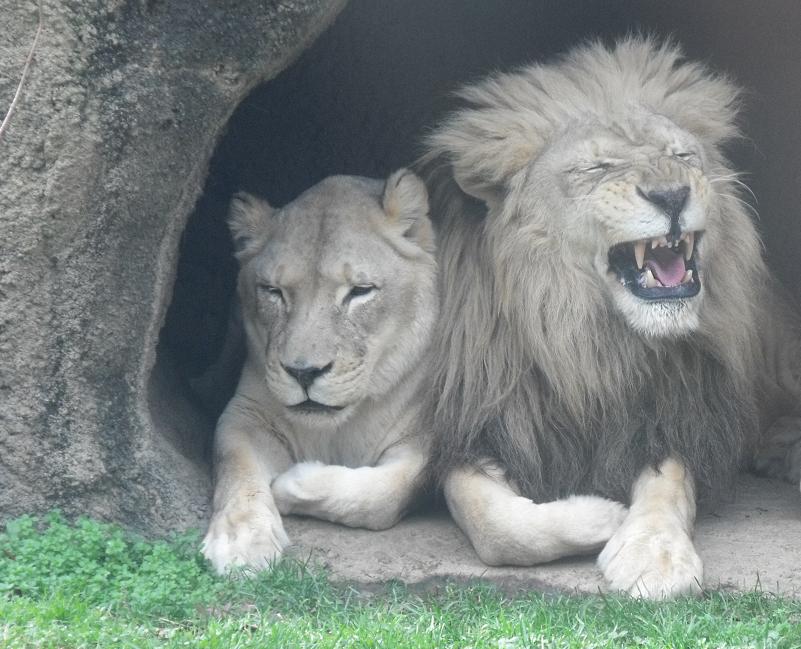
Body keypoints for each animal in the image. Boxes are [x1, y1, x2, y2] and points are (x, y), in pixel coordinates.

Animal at [201, 170, 438, 574]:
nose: (304, 373)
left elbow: (390, 492)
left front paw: (291, 483)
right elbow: (237, 468)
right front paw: (241, 542)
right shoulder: (245, 416)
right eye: (273, 291)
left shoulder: (430, 436)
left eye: (360, 291)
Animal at [422, 37, 801, 598]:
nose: (672, 195)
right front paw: (603, 516)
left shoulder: (672, 415)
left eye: (682, 155)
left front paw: (653, 558)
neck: (588, 340)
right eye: (597, 168)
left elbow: (667, 488)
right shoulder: (481, 426)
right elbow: (496, 524)